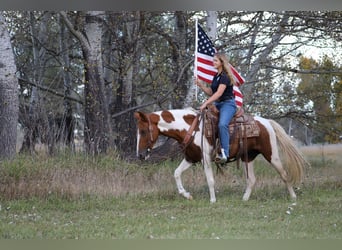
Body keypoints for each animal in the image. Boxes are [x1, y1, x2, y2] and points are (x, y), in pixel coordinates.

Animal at [134, 107, 310, 203]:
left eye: (143, 131)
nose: (140, 155)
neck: (191, 128)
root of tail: (266, 122)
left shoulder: (205, 159)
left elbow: (210, 180)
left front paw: (212, 200)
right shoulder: (190, 158)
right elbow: (176, 173)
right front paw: (187, 195)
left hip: (271, 154)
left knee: (284, 174)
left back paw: (293, 197)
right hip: (248, 158)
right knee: (252, 179)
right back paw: (244, 199)